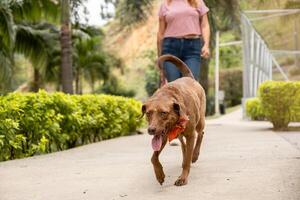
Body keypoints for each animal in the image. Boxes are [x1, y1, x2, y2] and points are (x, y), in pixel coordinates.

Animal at [142, 54, 205, 186]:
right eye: (148, 113)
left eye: (163, 113)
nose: (151, 130)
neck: (168, 94)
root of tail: (189, 77)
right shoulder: (164, 136)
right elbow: (153, 158)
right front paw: (159, 175)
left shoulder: (191, 134)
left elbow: (187, 161)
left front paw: (183, 178)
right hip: (179, 134)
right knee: (183, 144)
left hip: (200, 121)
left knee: (201, 133)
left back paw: (195, 155)